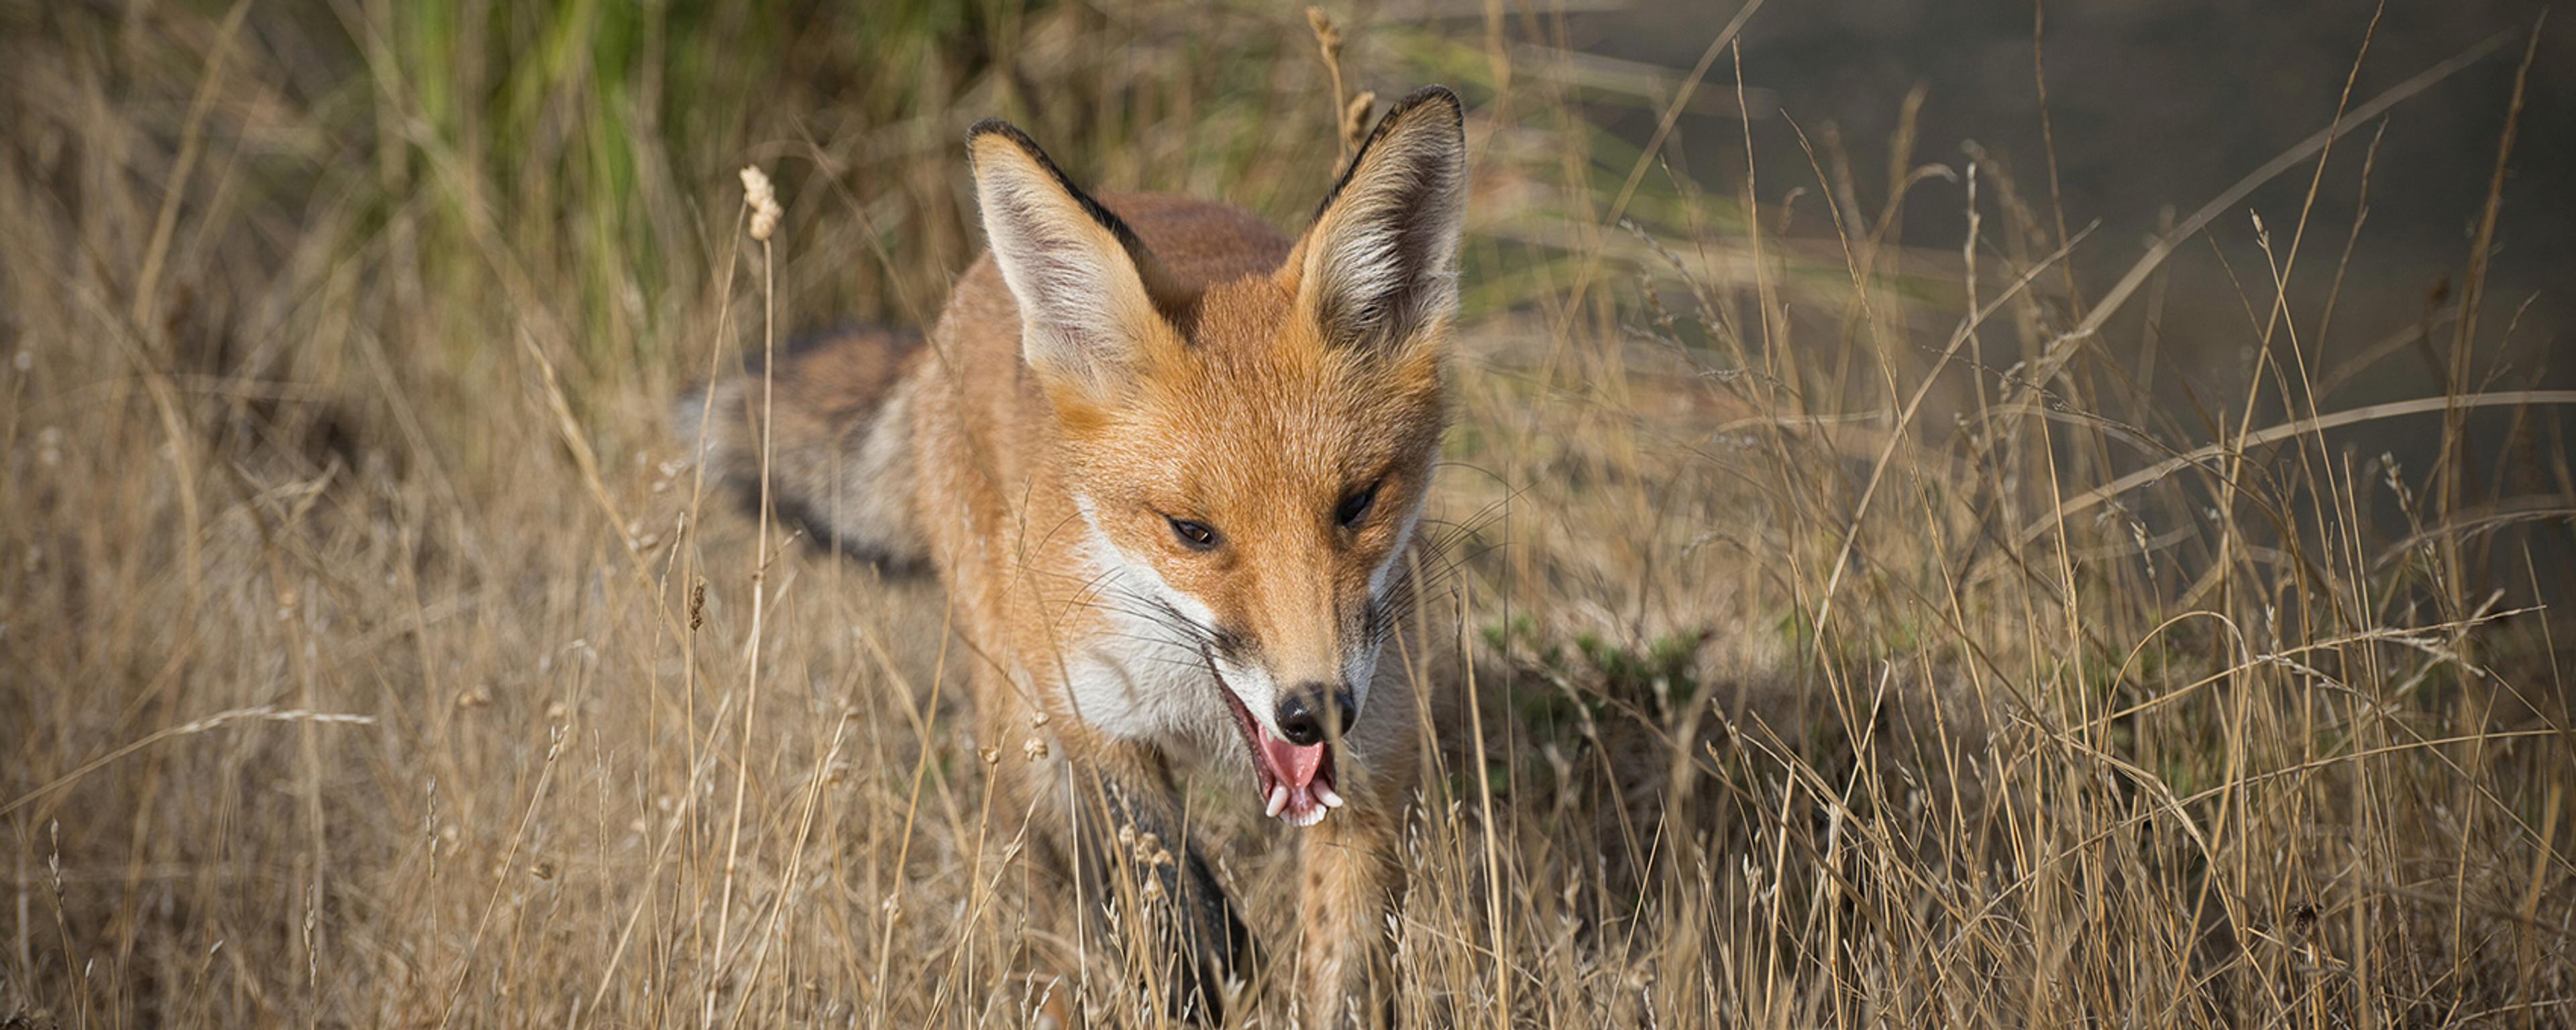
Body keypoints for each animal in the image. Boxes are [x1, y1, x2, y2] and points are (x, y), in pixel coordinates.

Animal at [681, 86, 1468, 1023]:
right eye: (1192, 531)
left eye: (1356, 505)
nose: (1313, 710)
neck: (1196, 707)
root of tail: (963, 302)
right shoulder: (1093, 720)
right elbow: (1174, 919)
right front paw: (1208, 972)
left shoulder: (1377, 756)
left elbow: (1346, 975)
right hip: (1018, 713)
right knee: (1060, 872)